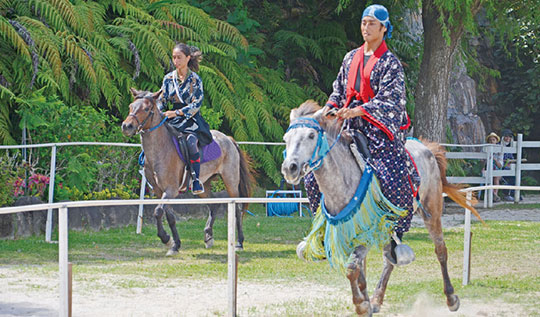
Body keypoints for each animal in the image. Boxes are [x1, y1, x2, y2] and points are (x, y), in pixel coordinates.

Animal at [122, 87, 253, 256]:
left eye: (146, 108)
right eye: (131, 106)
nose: (127, 126)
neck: (160, 149)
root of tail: (228, 139)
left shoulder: (170, 190)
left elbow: (157, 212)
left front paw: (166, 239)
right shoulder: (160, 191)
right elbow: (169, 217)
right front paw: (175, 244)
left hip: (230, 182)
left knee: (237, 209)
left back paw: (239, 243)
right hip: (204, 185)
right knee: (214, 205)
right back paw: (208, 237)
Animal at [280, 100, 484, 314]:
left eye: (311, 136)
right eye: (286, 138)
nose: (289, 168)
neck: (342, 182)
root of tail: (425, 147)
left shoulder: (366, 235)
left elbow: (352, 268)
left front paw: (361, 305)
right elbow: (358, 271)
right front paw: (367, 302)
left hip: (432, 210)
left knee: (440, 250)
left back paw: (451, 298)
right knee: (389, 260)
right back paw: (377, 299)